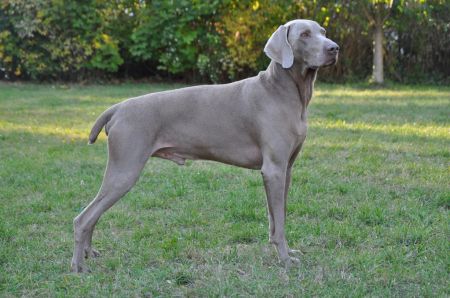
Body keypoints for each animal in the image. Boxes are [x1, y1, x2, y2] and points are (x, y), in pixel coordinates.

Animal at [71, 19, 338, 272]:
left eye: (323, 31)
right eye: (304, 34)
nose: (334, 48)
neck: (283, 91)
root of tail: (117, 108)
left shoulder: (286, 169)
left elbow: (277, 216)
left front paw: (285, 251)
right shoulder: (273, 169)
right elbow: (280, 221)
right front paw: (285, 259)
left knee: (93, 215)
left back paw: (89, 253)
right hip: (125, 169)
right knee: (83, 218)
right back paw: (78, 266)